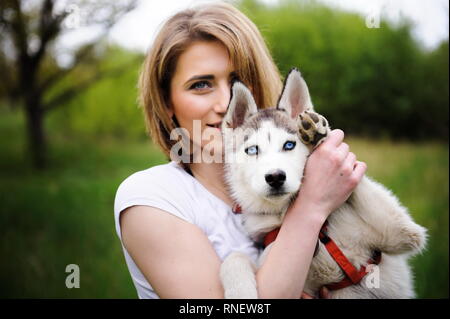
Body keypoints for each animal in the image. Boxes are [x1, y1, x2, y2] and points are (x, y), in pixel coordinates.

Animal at [220, 68, 428, 300]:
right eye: (252, 150)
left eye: (289, 145)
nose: (275, 177)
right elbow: (234, 258)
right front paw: (240, 292)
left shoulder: (400, 232)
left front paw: (319, 137)